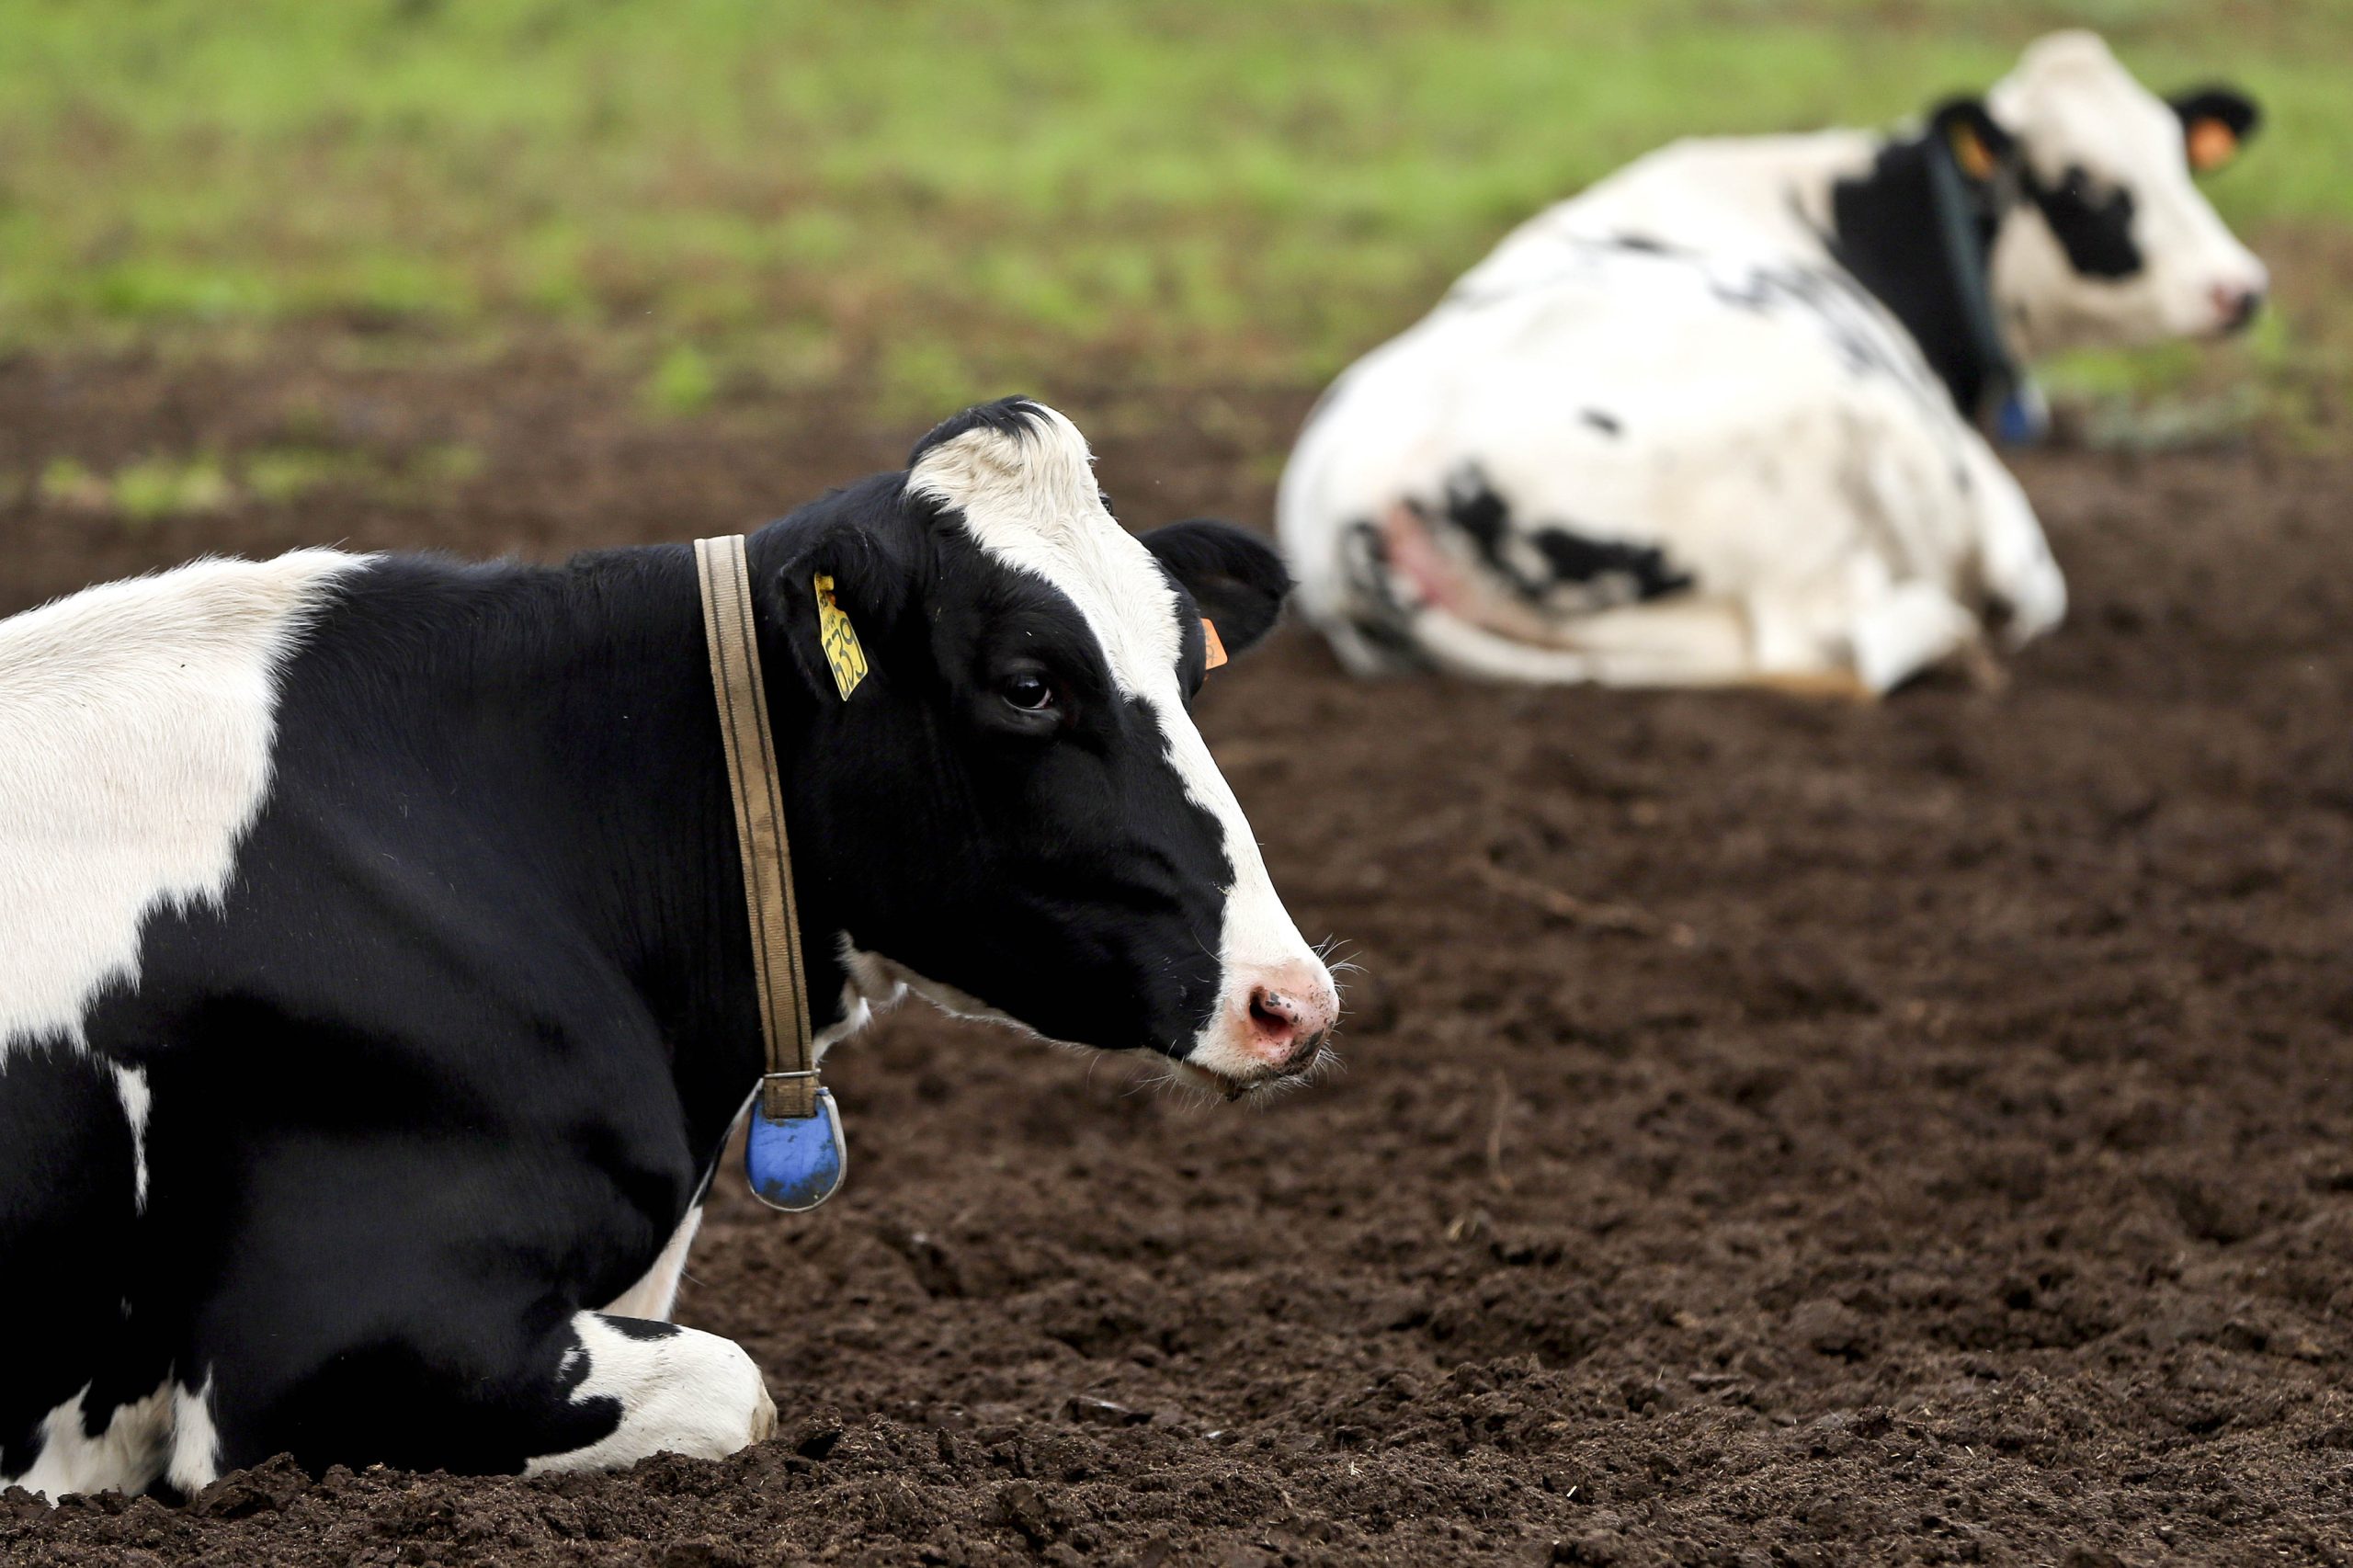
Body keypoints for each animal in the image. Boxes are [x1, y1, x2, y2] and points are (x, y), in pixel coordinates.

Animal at [1278, 32, 2266, 694]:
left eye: (2184, 165)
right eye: (2087, 188)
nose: (2242, 288)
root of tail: (1352, 504)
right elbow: (2029, 585)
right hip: (1843, 430)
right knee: (1839, 634)